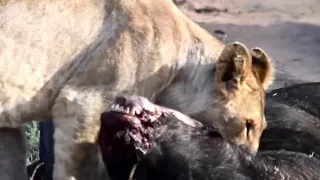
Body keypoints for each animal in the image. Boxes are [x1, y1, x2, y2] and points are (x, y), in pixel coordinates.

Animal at [0, 0, 276, 179]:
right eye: (247, 126)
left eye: (261, 127)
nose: (249, 162)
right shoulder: (84, 104)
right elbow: (80, 172)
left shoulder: (7, 122)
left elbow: (11, 166)